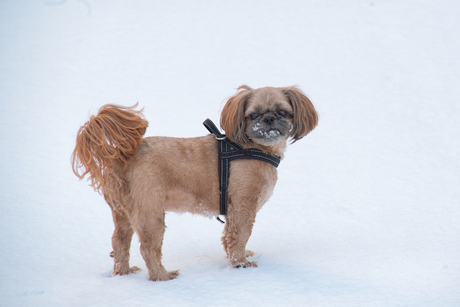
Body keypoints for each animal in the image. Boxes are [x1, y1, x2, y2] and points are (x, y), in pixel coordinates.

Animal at [72, 86, 318, 282]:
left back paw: (123, 273)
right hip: (150, 213)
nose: (268, 119)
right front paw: (241, 264)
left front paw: (238, 257)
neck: (251, 147)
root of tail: (121, 156)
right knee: (149, 248)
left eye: (283, 112)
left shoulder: (231, 208)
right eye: (253, 115)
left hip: (123, 213)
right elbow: (240, 235)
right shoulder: (244, 205)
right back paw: (162, 276)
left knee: (119, 242)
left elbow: (229, 237)